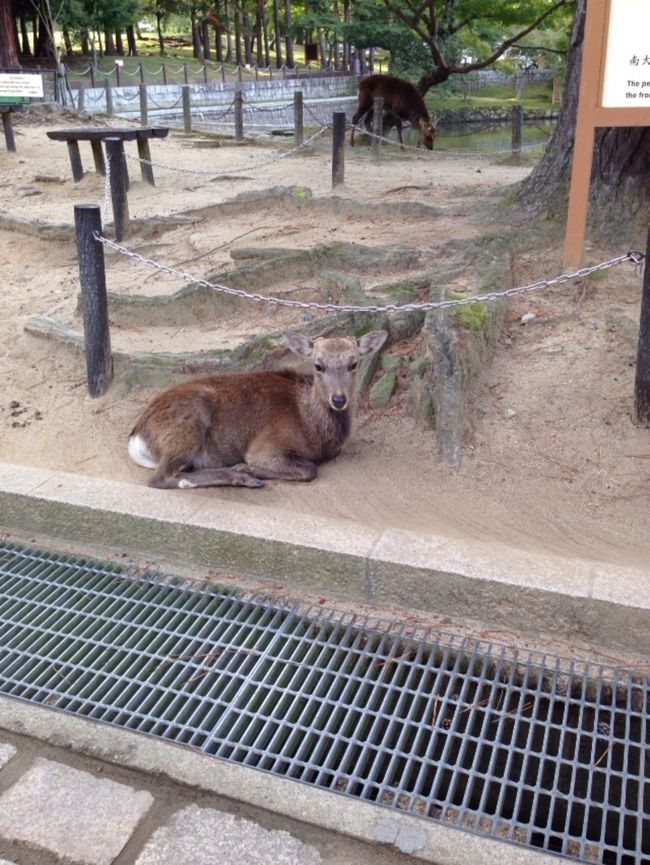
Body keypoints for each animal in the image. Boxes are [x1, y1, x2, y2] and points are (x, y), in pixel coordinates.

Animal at [129, 330, 388, 490]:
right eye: (318, 365)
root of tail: (136, 437)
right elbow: (309, 469)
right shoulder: (265, 446)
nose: (339, 399)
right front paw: (248, 468)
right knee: (161, 478)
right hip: (186, 428)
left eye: (354, 364)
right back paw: (242, 475)